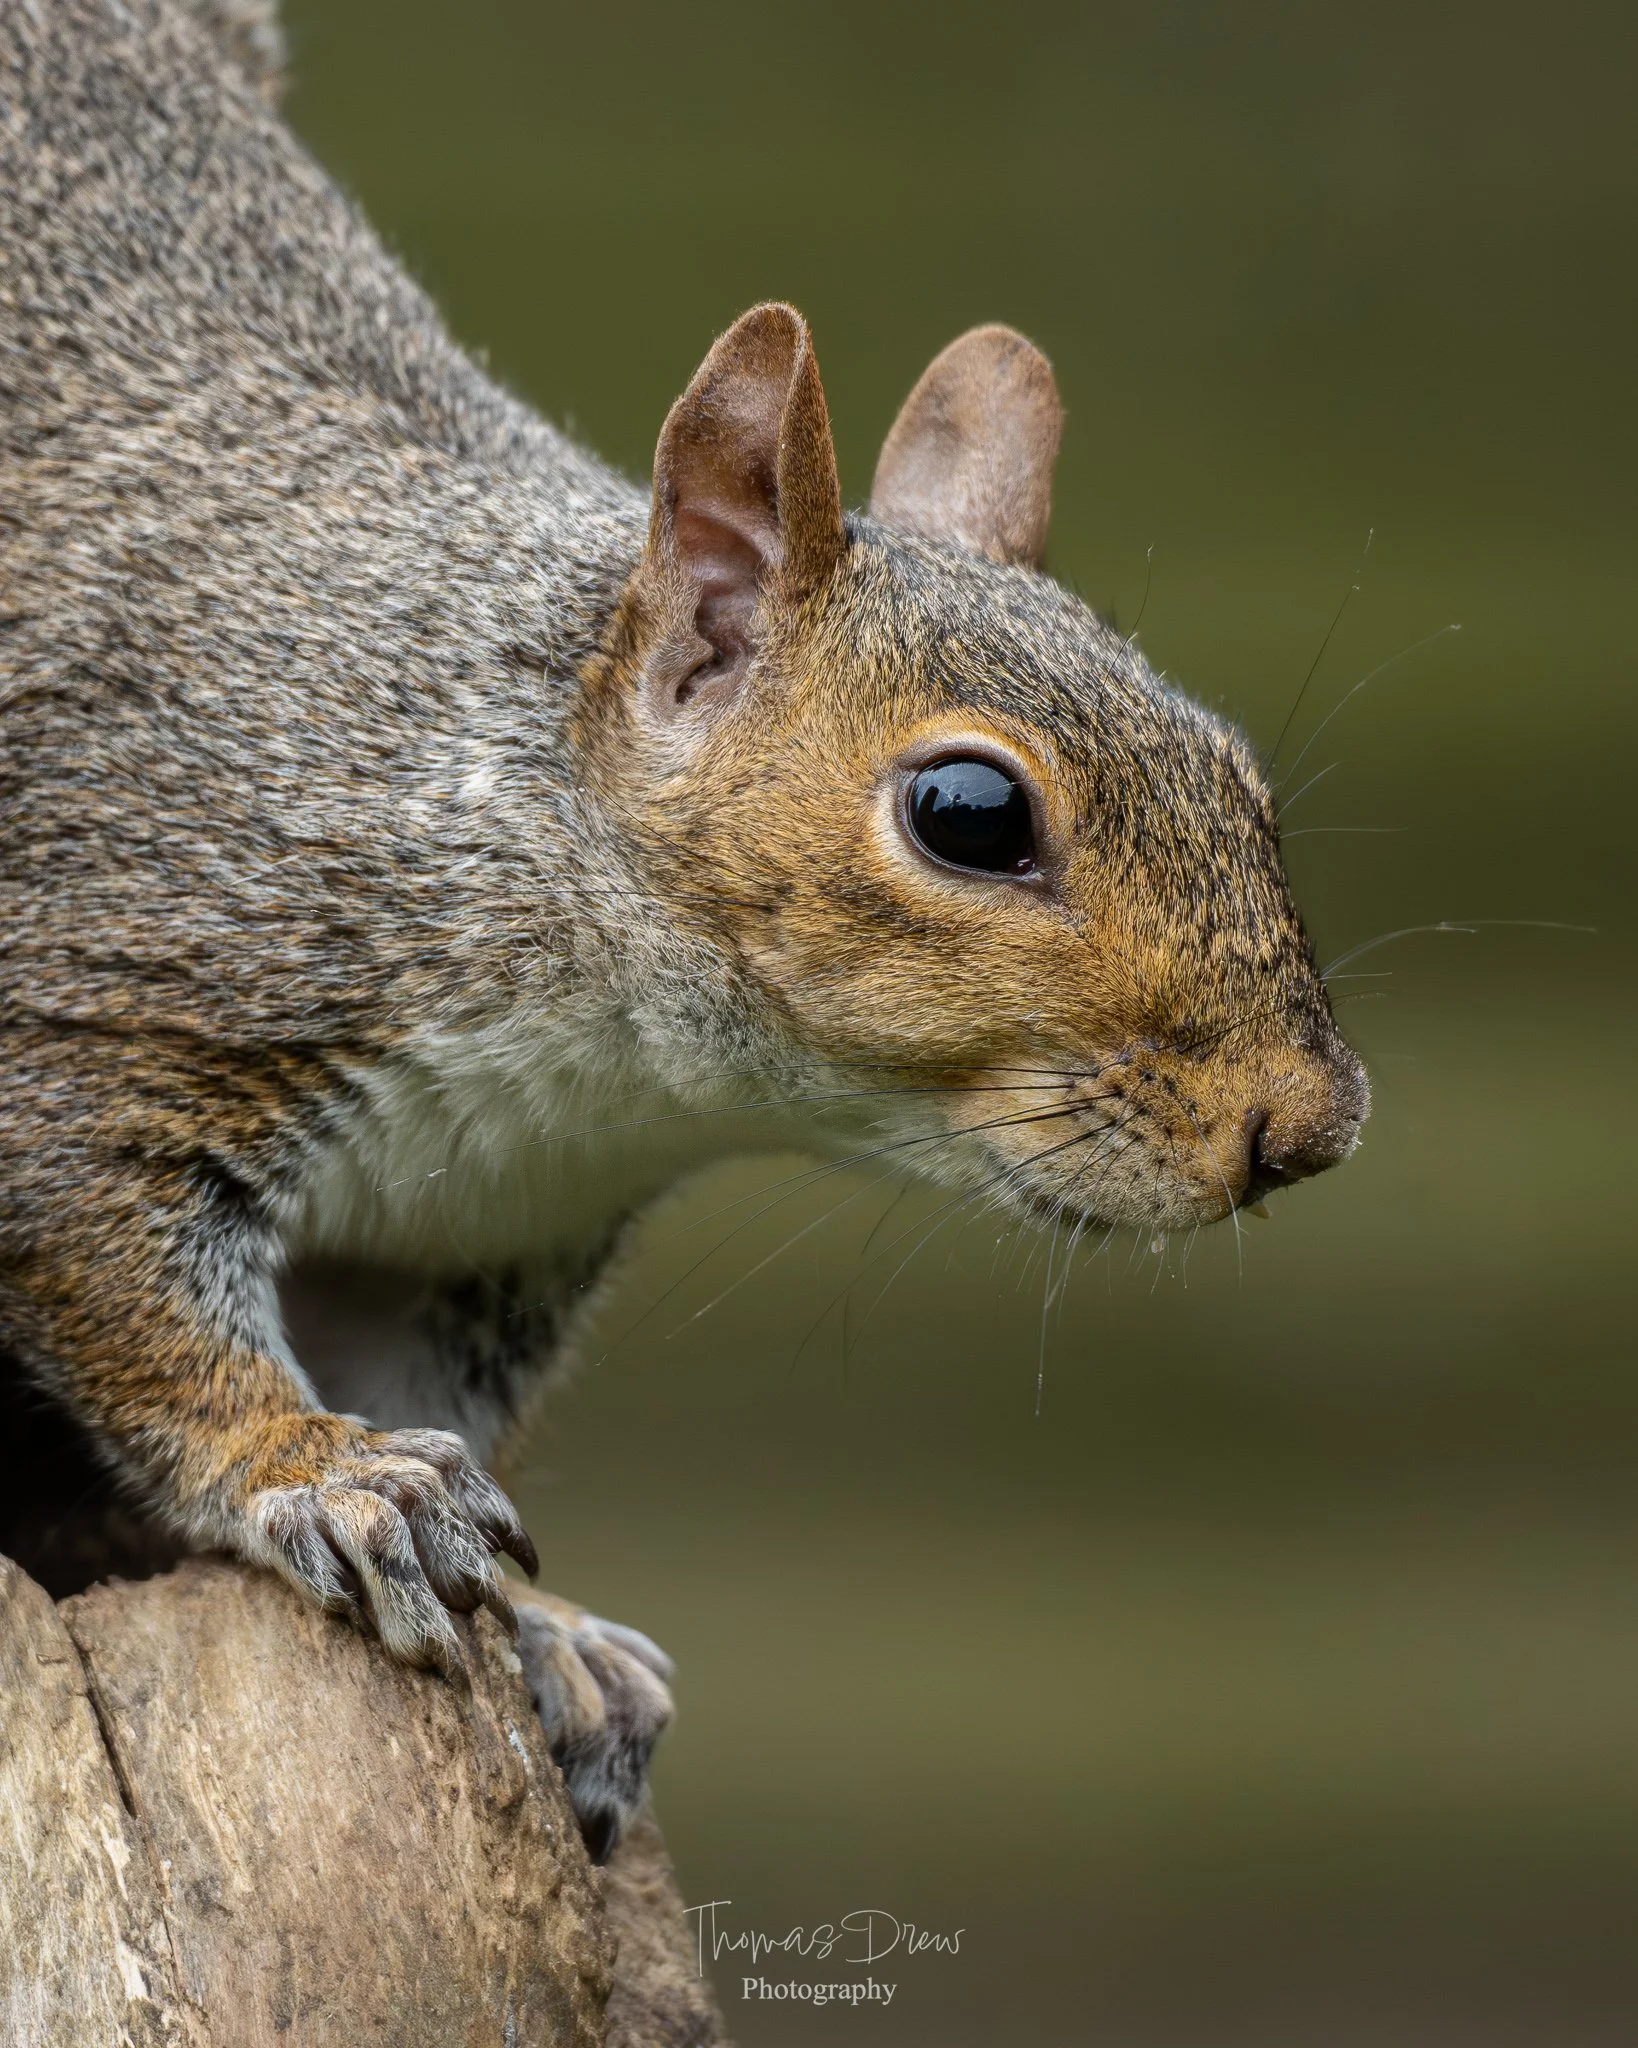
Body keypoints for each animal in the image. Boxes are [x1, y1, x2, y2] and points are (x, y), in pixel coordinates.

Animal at [0, 0, 1368, 1858]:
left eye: (1235, 770)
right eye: (968, 814)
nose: (1306, 1126)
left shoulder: (469, 1242)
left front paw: (548, 1635)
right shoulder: (118, 975)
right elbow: (124, 1290)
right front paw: (319, 1470)